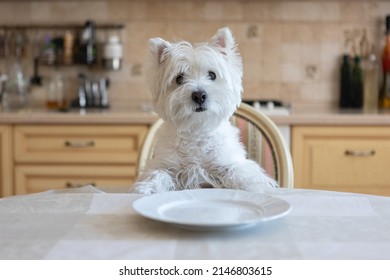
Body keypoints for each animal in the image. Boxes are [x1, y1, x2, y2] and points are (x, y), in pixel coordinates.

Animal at [133, 27, 276, 195]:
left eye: (212, 75)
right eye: (179, 78)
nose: (199, 95)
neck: (197, 131)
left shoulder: (229, 161)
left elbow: (240, 171)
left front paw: (254, 186)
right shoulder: (165, 164)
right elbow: (157, 173)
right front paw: (148, 187)